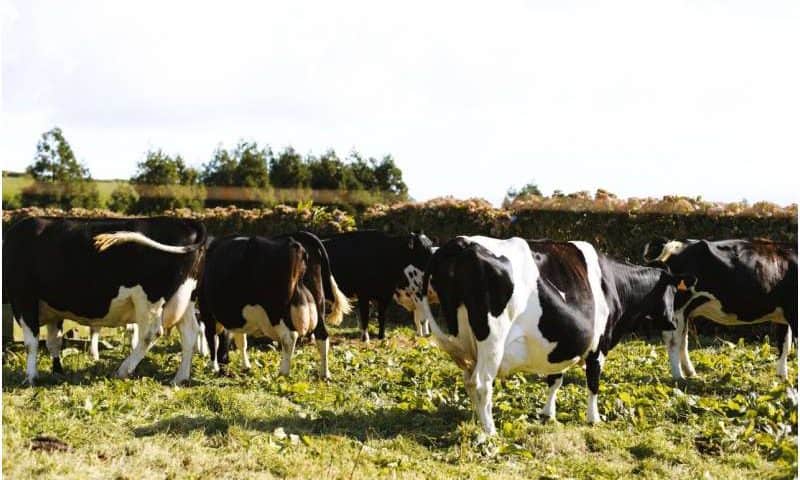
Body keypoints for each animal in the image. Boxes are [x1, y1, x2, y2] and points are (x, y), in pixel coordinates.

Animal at [2, 216, 207, 386]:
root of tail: (185, 222)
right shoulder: (54, 309)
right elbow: (54, 342)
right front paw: (57, 371)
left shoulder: (23, 299)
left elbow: (32, 343)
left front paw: (30, 377)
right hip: (185, 298)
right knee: (190, 332)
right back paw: (179, 378)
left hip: (150, 300)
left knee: (150, 333)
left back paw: (123, 370)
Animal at [198, 231, 350, 379]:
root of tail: (295, 237)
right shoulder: (235, 318)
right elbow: (240, 340)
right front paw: (244, 366)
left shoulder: (207, 312)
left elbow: (213, 339)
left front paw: (214, 367)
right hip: (318, 301)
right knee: (322, 335)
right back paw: (325, 374)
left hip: (276, 310)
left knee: (289, 337)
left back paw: (283, 372)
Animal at [418, 236, 694, 434]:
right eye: (672, 292)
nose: (672, 322)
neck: (614, 284)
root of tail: (462, 243)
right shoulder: (598, 347)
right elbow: (593, 383)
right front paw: (594, 418)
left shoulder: (560, 343)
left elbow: (555, 378)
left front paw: (547, 414)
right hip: (492, 340)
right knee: (481, 383)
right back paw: (490, 430)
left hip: (465, 341)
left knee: (469, 380)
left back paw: (478, 421)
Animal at [643, 238, 797, 380]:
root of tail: (676, 244)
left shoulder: (783, 316)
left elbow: (784, 344)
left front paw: (782, 377)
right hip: (677, 307)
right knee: (673, 340)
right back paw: (678, 377)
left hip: (684, 311)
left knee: (682, 339)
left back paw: (690, 372)